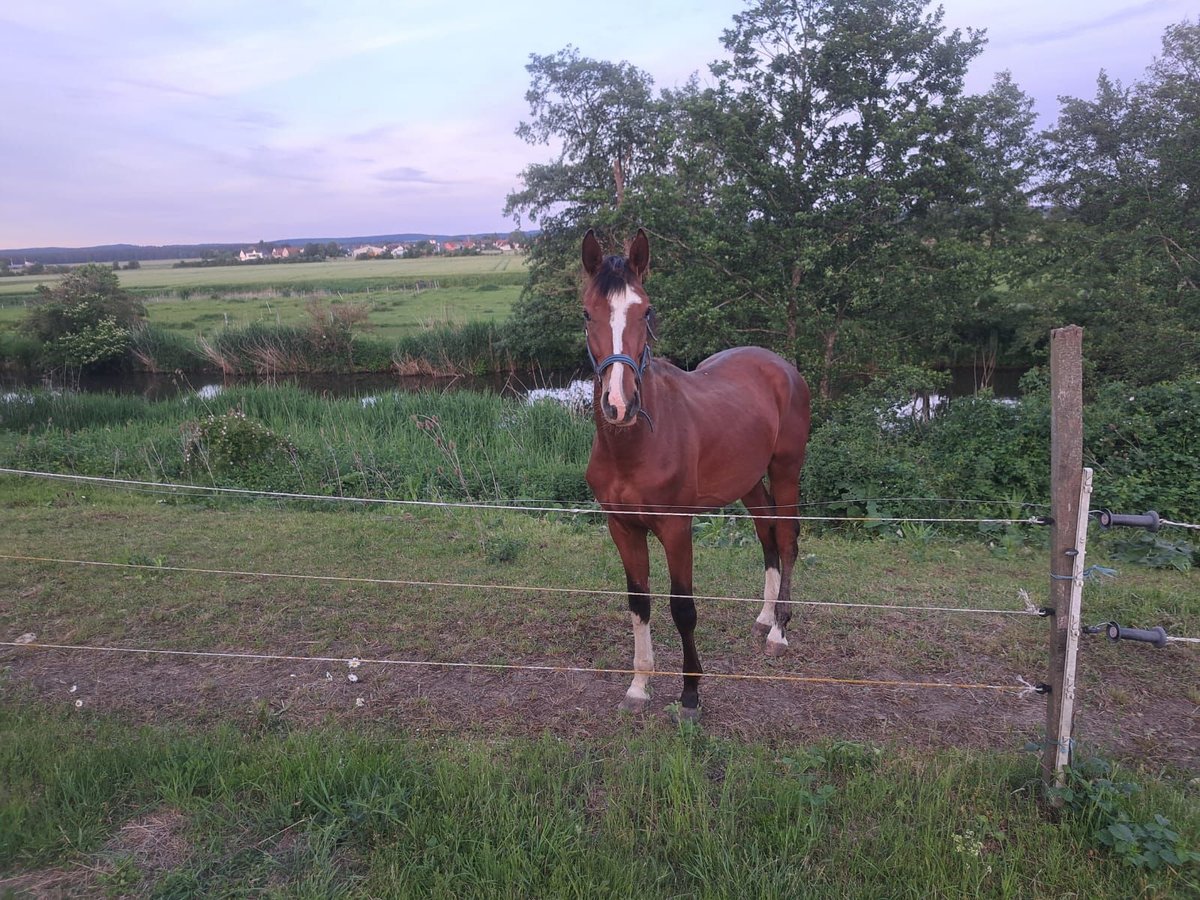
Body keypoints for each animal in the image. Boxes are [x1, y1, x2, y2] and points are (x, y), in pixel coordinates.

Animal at [578, 229, 811, 724]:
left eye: (646, 310)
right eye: (587, 313)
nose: (619, 404)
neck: (636, 444)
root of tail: (780, 365)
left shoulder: (675, 527)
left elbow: (682, 608)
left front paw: (689, 695)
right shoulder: (622, 527)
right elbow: (639, 603)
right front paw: (638, 687)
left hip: (786, 469)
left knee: (786, 538)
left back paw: (778, 632)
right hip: (749, 482)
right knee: (766, 533)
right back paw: (765, 616)